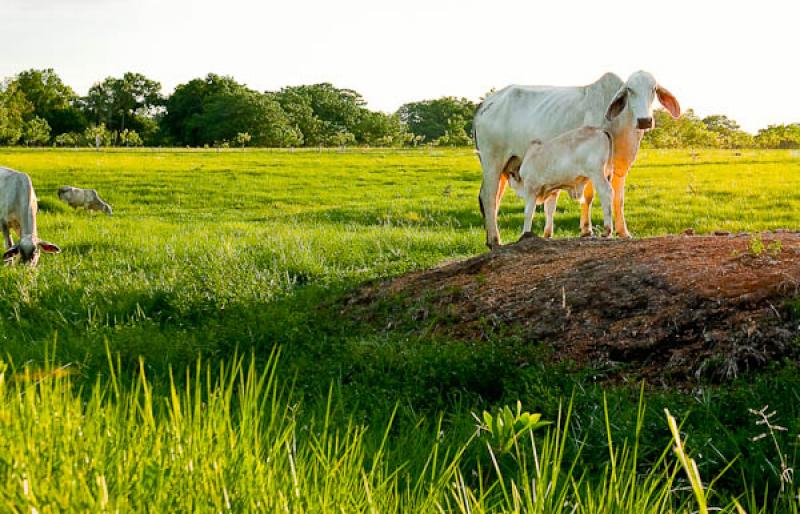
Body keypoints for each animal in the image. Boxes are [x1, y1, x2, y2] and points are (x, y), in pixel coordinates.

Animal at [476, 71, 680, 247]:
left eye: (654, 89)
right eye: (629, 90)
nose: (645, 120)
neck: (621, 124)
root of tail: (485, 104)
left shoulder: (620, 167)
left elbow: (618, 199)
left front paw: (623, 232)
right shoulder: (592, 168)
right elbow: (589, 197)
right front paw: (587, 230)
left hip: (505, 167)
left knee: (495, 198)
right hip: (492, 161)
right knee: (488, 197)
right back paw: (494, 240)